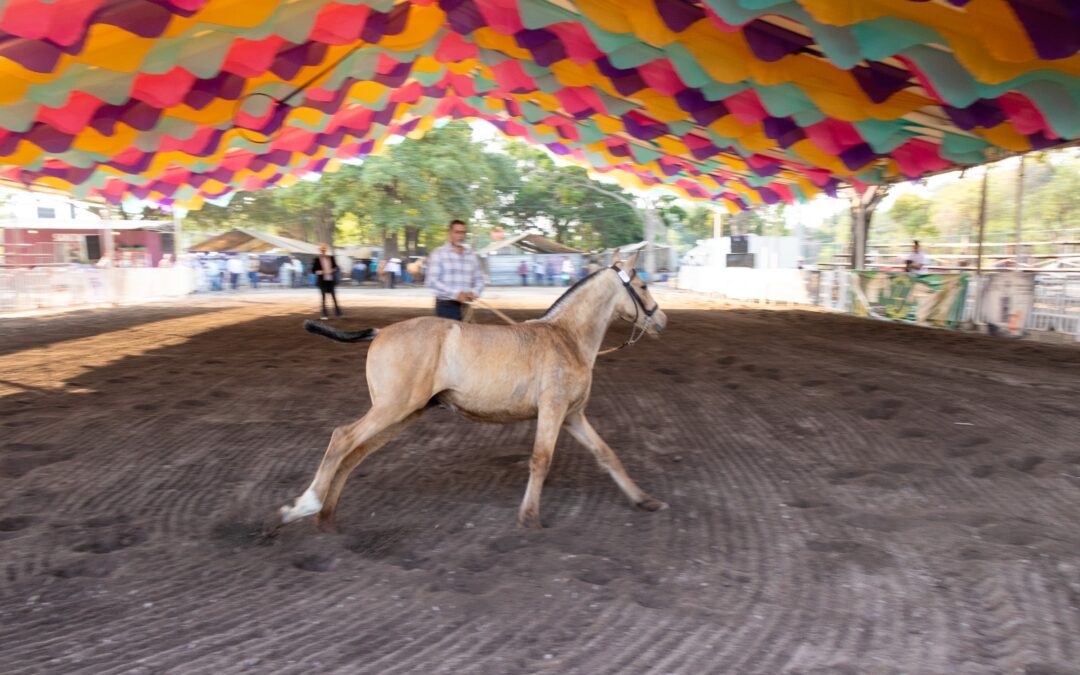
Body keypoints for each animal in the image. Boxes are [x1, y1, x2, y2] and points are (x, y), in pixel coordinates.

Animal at [278, 250, 665, 529]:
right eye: (643, 286)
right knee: (342, 438)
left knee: (354, 453)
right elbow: (540, 460)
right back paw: (304, 506)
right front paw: (529, 517)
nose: (661, 320)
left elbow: (606, 454)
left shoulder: (572, 415)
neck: (566, 338)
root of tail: (380, 332)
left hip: (403, 413)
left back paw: (326, 518)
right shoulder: (553, 410)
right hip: (392, 408)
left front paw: (645, 500)